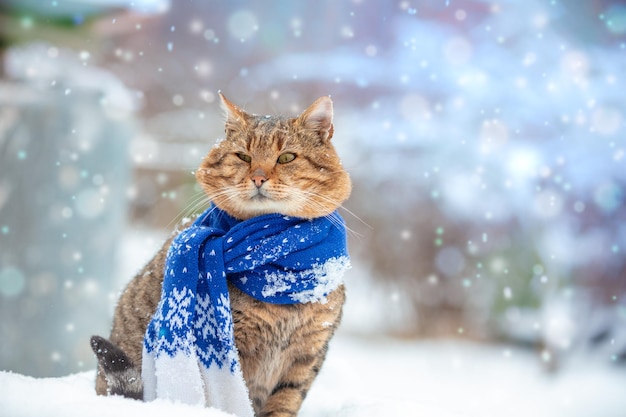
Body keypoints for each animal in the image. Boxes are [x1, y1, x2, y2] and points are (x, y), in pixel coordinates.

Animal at [91, 92, 352, 416]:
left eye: (286, 157)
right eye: (243, 156)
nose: (258, 178)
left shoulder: (308, 353)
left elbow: (285, 401)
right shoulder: (237, 349)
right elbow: (237, 400)